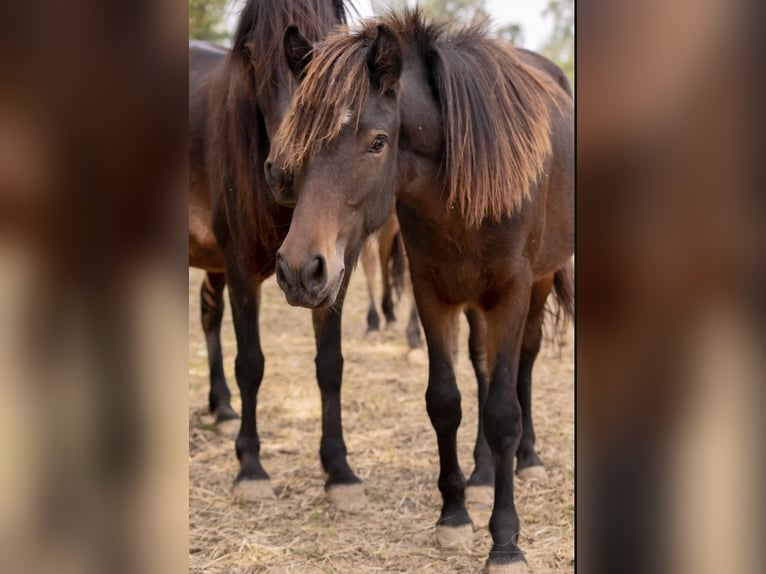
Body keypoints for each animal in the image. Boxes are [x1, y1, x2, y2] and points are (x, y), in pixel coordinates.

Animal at [189, 0, 368, 508]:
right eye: (250, 56)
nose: (287, 171)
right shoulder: (241, 269)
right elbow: (251, 363)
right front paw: (250, 468)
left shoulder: (330, 275)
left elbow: (330, 365)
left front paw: (339, 471)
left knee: (208, 314)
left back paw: (222, 408)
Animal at [268, 10, 572, 574]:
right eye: (298, 139)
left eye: (377, 141)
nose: (300, 269)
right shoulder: (433, 292)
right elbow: (446, 401)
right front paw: (454, 515)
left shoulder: (512, 293)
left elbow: (503, 412)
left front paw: (505, 541)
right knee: (480, 368)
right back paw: (482, 477)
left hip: (539, 285)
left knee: (523, 364)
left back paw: (528, 459)